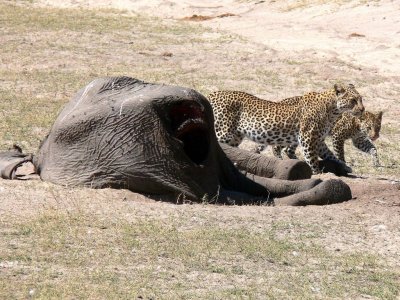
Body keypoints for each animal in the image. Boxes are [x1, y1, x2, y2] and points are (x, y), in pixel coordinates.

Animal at [208, 83, 364, 175]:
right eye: (353, 100)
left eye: (361, 99)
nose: (362, 109)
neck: (333, 111)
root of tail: (212, 94)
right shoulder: (308, 138)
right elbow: (312, 158)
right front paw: (318, 173)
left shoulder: (319, 140)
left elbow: (331, 155)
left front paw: (345, 166)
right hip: (223, 132)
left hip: (235, 137)